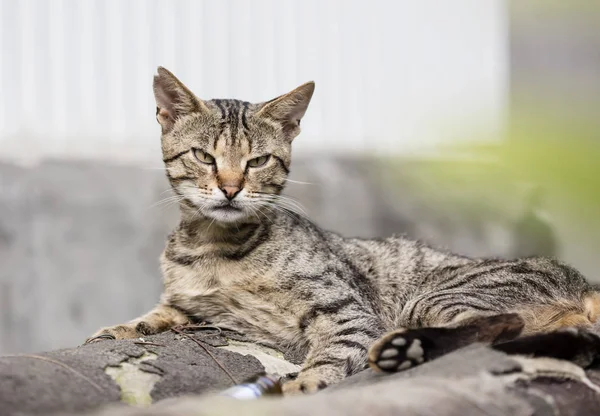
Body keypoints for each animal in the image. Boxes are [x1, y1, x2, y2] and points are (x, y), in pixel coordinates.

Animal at [88, 66, 600, 394]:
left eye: (258, 161)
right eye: (204, 156)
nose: (231, 189)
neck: (213, 246)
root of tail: (583, 282)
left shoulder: (346, 308)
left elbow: (333, 351)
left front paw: (307, 381)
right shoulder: (183, 302)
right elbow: (152, 316)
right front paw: (116, 330)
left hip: (436, 297)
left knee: (503, 327)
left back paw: (406, 350)